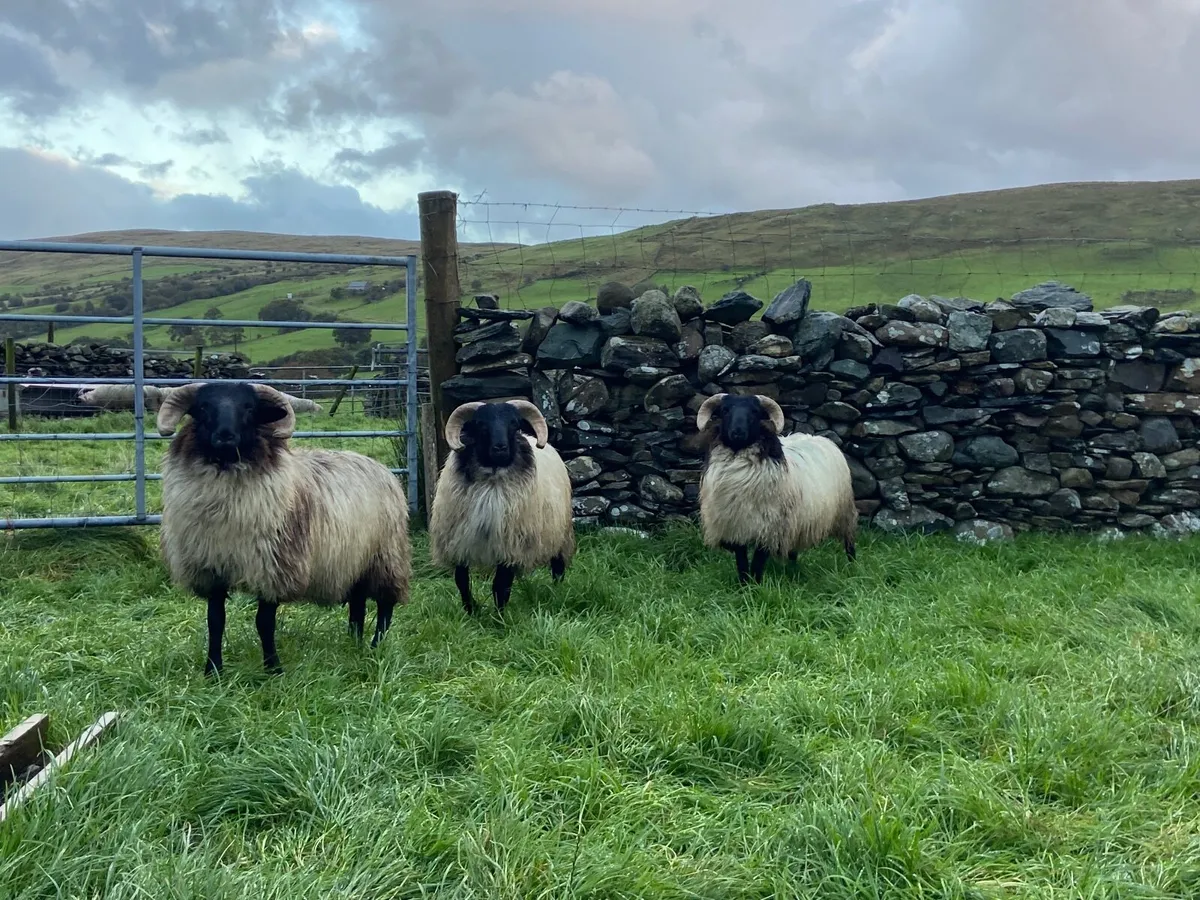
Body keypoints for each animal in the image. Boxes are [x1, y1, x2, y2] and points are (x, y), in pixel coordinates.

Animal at [155, 380, 411, 675]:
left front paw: (273, 668)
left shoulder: (274, 568)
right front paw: (213, 671)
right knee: (357, 605)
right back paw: (353, 644)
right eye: (202, 407)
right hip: (354, 561)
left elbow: (264, 623)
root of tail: (379, 467)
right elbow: (215, 622)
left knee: (385, 605)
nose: (225, 436)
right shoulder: (212, 569)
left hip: (385, 555)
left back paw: (375, 646)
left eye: (249, 407)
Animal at [428, 399, 575, 614]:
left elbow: (500, 584)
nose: (500, 448)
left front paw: (500, 615)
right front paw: (471, 610)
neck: (492, 480)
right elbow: (461, 580)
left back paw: (557, 591)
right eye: (480, 424)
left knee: (558, 566)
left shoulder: (509, 545)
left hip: (558, 533)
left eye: (514, 423)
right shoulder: (459, 542)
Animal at [696, 392, 858, 584]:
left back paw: (852, 567)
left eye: (755, 411)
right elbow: (741, 563)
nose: (738, 432)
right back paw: (793, 569)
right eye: (725, 410)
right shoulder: (736, 527)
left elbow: (757, 563)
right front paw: (744, 585)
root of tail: (816, 437)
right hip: (798, 521)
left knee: (849, 540)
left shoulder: (770, 529)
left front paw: (756, 586)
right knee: (793, 550)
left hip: (844, 510)